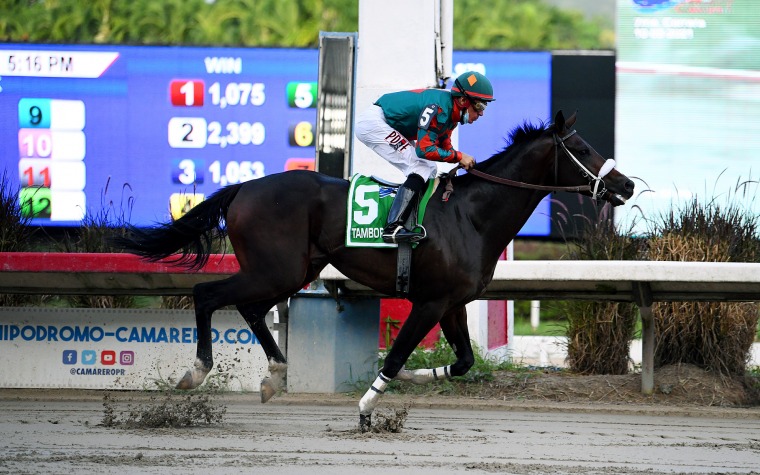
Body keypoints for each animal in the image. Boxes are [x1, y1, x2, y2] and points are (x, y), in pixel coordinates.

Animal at [113, 111, 636, 432]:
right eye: (583, 147)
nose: (626, 185)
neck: (471, 215)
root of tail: (244, 187)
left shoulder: (452, 303)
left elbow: (463, 361)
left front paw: (420, 377)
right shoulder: (428, 301)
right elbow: (398, 353)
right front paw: (367, 407)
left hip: (289, 270)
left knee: (250, 309)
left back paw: (275, 375)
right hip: (275, 269)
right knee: (208, 294)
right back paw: (197, 372)